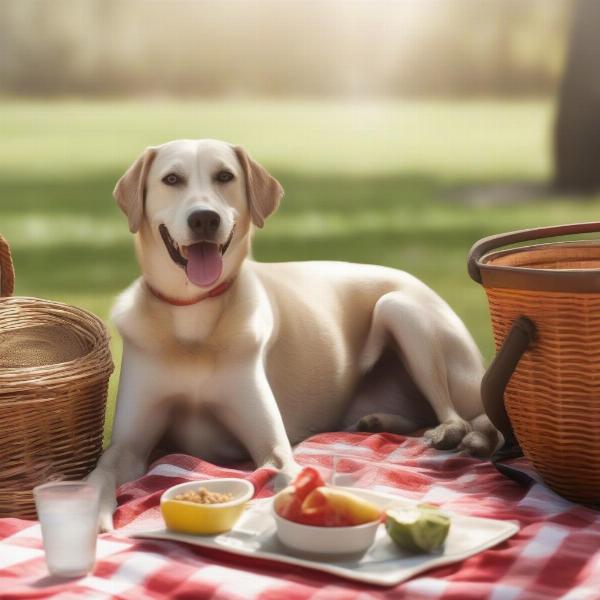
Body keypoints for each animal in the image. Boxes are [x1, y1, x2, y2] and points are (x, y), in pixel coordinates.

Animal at [88, 138, 496, 528]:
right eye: (172, 179)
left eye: (224, 176)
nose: (204, 219)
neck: (194, 320)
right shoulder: (127, 447)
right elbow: (98, 475)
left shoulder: (272, 447)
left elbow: (285, 473)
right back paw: (377, 422)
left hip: (399, 308)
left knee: (459, 416)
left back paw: (452, 435)